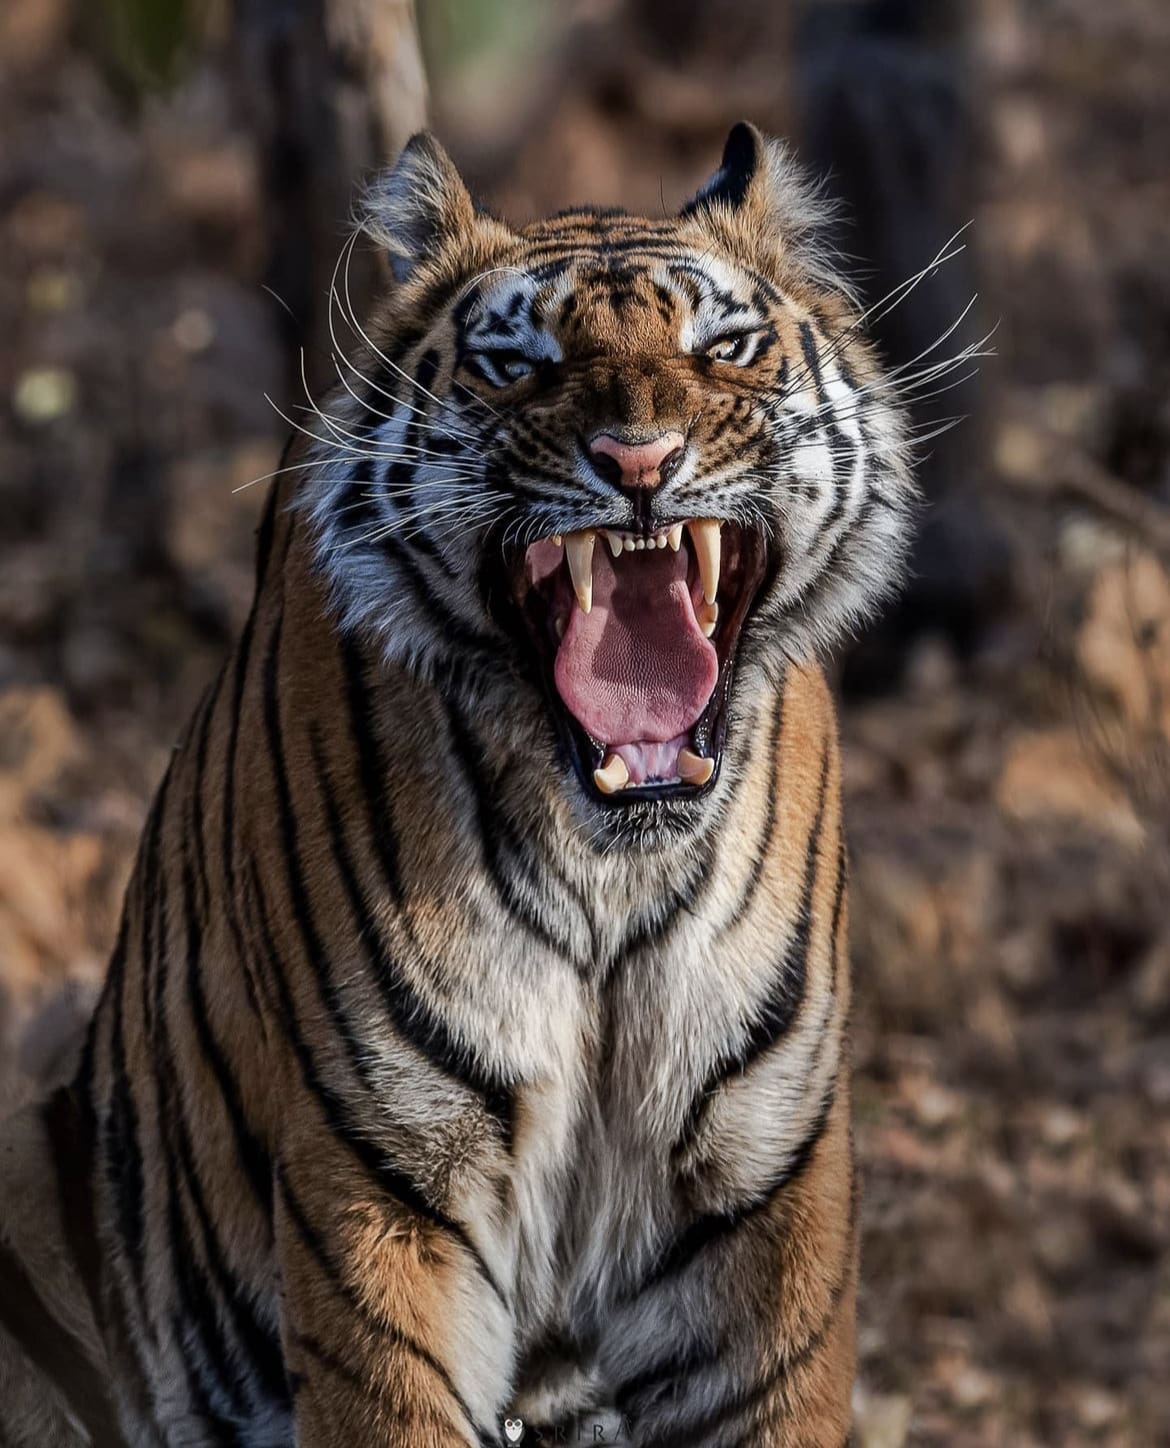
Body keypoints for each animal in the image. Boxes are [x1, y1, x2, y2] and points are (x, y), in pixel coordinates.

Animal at [0, 124, 915, 1448]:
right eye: (514, 365)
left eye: (724, 348)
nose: (640, 461)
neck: (609, 862)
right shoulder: (382, 1176)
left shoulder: (763, 1174)